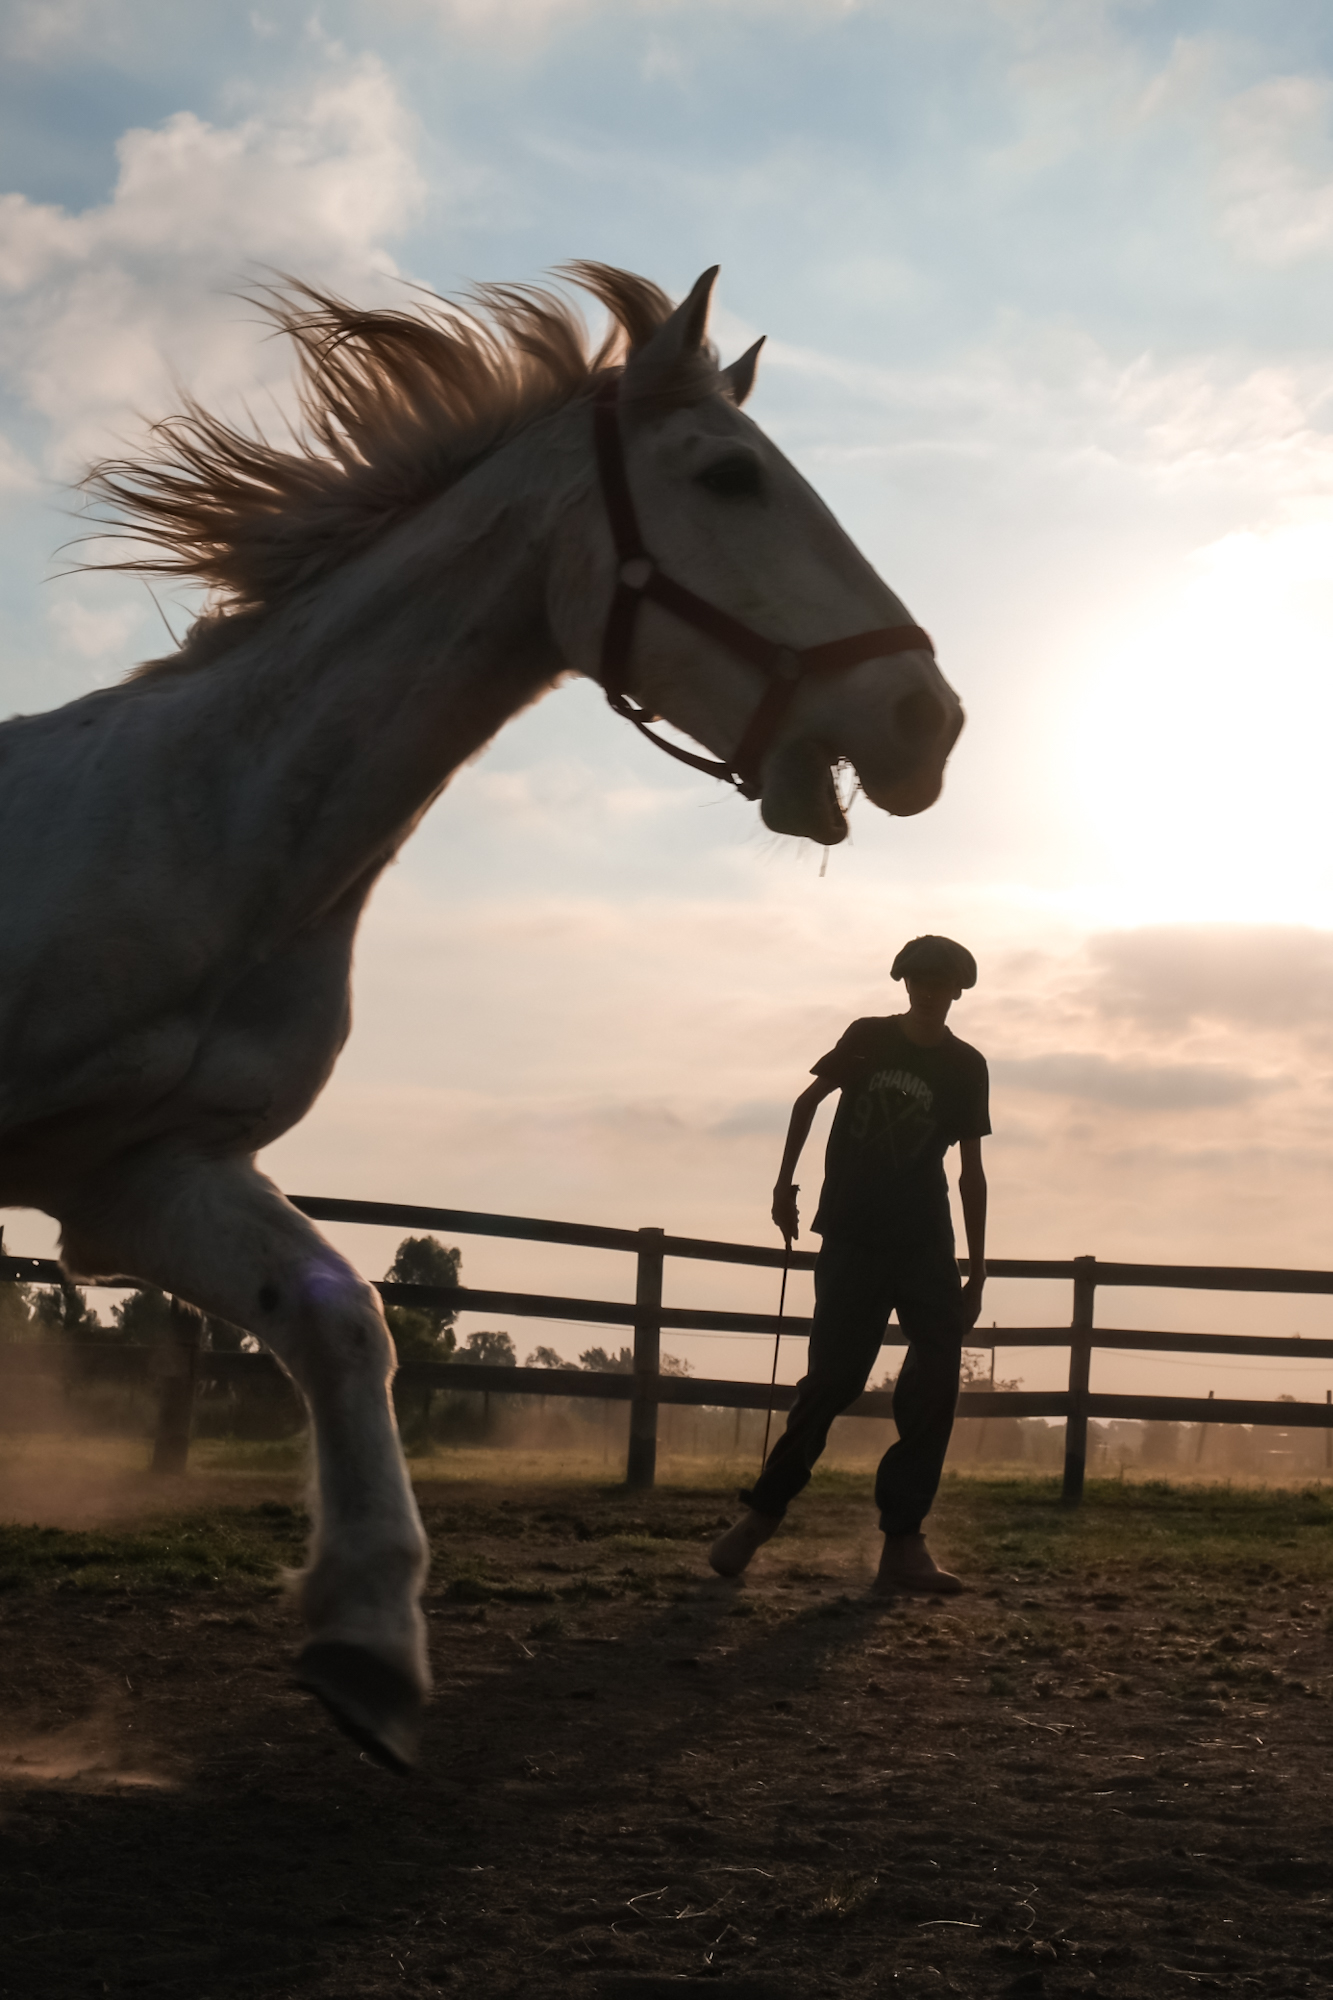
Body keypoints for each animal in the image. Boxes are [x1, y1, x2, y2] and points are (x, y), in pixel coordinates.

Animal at [0, 262, 960, 1768]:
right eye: (729, 475)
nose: (930, 720)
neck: (202, 832)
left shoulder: (141, 1172)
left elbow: (349, 1328)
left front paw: (370, 1649)